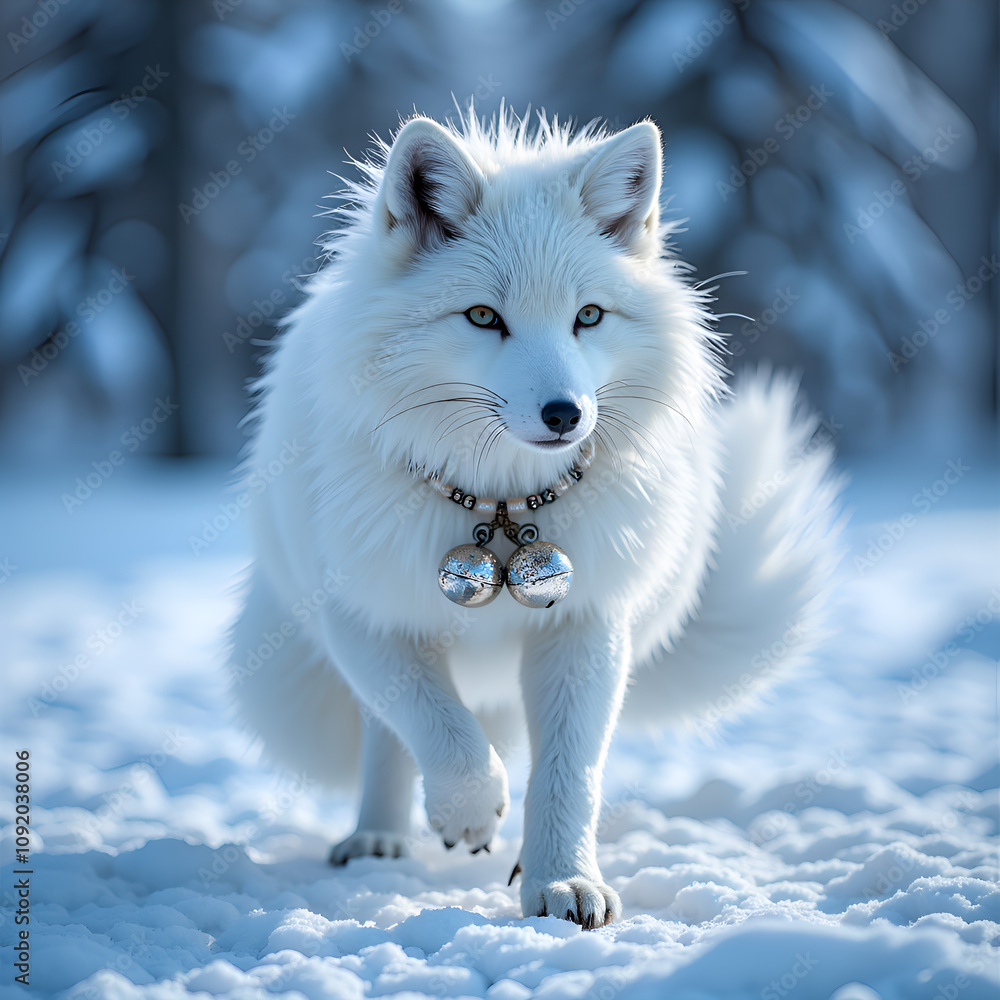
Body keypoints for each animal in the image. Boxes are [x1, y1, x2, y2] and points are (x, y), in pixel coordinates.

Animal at [230, 110, 841, 928]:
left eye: (589, 315)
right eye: (484, 317)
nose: (565, 415)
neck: (497, 512)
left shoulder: (585, 623)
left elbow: (568, 772)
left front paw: (562, 881)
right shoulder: (362, 614)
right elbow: (439, 732)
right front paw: (467, 813)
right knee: (392, 740)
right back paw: (378, 839)